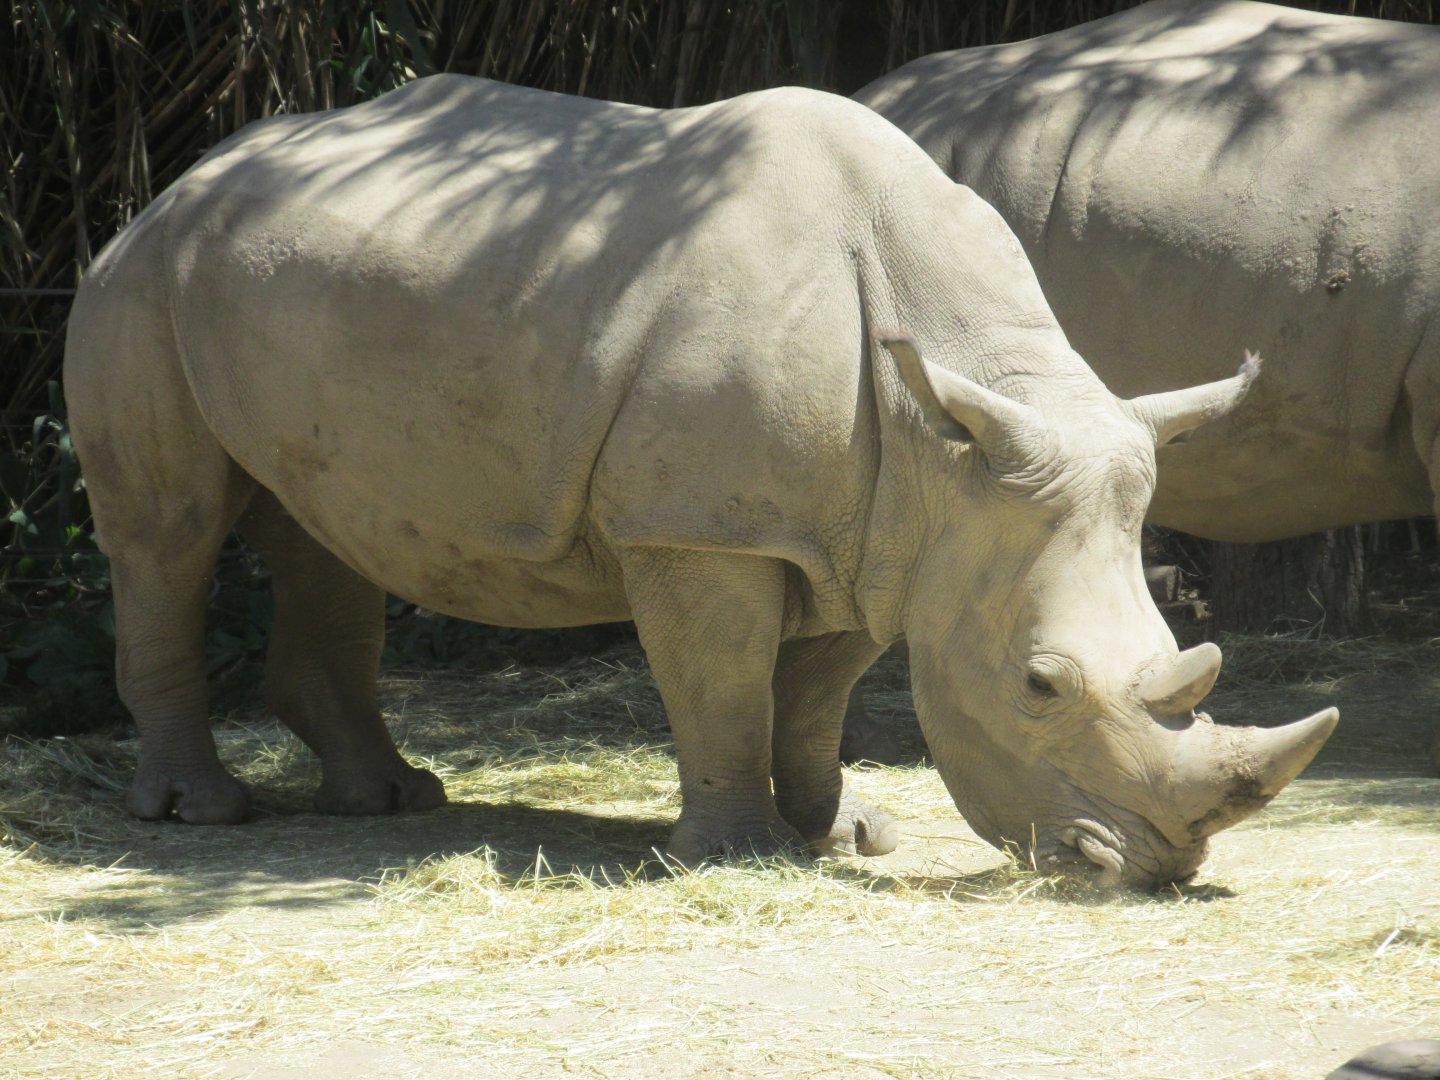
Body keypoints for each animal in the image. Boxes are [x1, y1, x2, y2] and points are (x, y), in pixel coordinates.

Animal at [64, 74, 1336, 887]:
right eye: (1039, 685)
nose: (1153, 868)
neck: (951, 422)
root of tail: (177, 183)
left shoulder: (878, 532)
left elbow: (816, 690)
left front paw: (839, 834)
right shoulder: (701, 527)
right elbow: (724, 681)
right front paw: (734, 853)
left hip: (277, 284)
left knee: (323, 526)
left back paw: (392, 800)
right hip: (141, 283)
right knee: (170, 532)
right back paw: (200, 815)